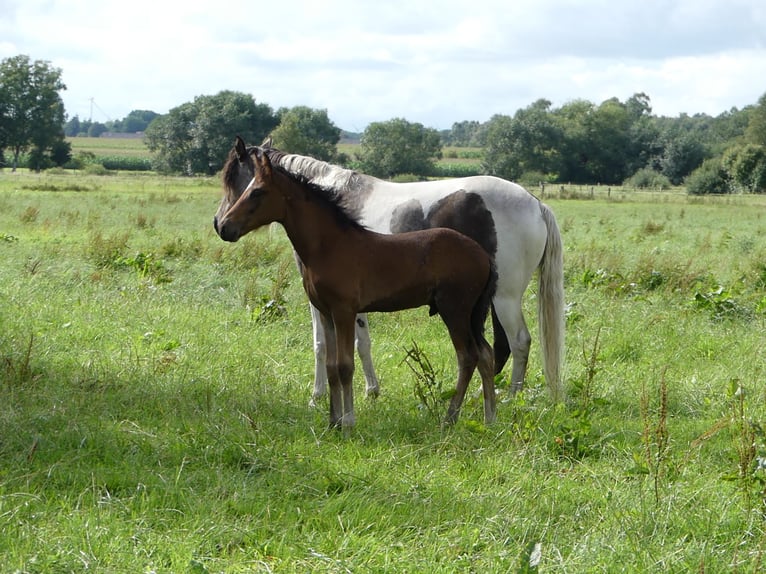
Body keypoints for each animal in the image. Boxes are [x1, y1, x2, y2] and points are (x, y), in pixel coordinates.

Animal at [213, 140, 568, 404]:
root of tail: (536, 204)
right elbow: (361, 342)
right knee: (500, 346)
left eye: (237, 180)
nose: (220, 224)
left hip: (505, 297)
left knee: (519, 342)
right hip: (492, 298)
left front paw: (319, 396)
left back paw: (509, 399)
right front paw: (371, 390)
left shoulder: (326, 303)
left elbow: (324, 345)